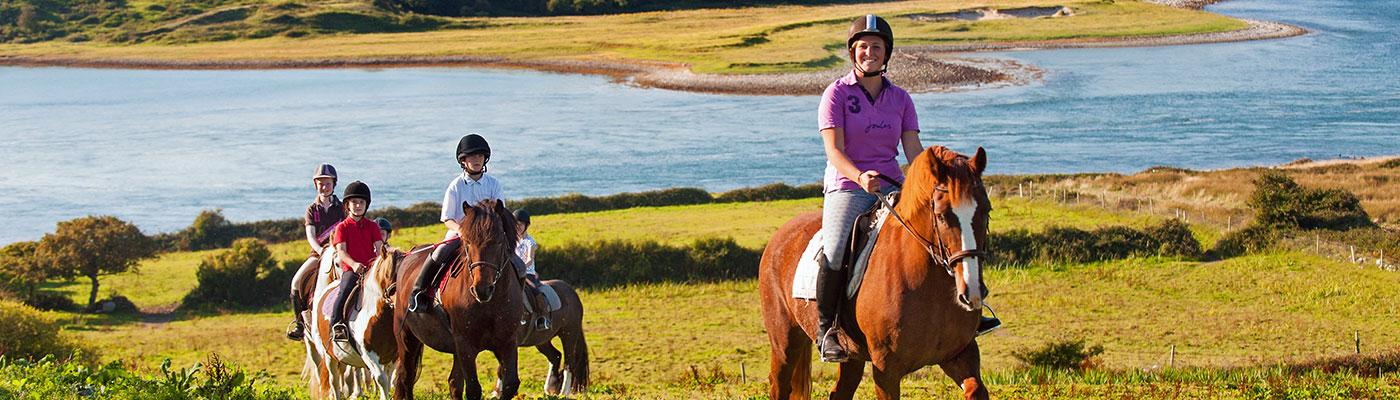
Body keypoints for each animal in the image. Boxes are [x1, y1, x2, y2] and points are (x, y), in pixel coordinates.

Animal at [392, 201, 526, 400]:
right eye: (468, 243)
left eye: (499, 242)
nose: (482, 289)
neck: (491, 304)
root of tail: (409, 256)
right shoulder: (465, 344)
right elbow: (473, 389)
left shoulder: (508, 341)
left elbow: (510, 384)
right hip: (407, 339)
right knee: (405, 379)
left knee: (453, 383)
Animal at [761, 146, 991, 400]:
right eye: (941, 215)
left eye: (986, 211)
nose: (972, 292)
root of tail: (780, 235)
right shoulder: (886, 370)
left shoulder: (961, 354)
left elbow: (976, 390)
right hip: (784, 343)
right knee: (779, 385)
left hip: (850, 354)